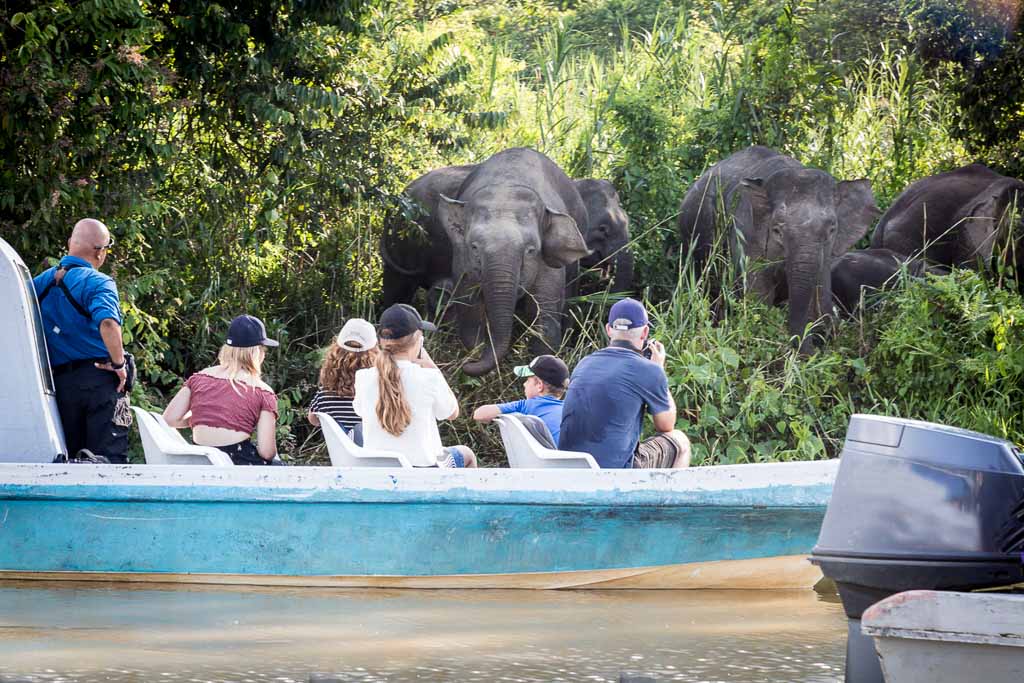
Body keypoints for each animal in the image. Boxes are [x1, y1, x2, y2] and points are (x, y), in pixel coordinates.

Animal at [382, 146, 593, 376]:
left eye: (530, 250)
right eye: (474, 247)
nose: (463, 365)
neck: (507, 185)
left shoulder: (547, 261)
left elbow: (543, 318)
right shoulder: (462, 257)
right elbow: (470, 311)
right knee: (396, 289)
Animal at [679, 145, 880, 352]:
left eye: (832, 229)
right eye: (776, 230)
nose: (812, 350)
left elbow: (821, 286)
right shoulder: (745, 232)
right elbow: (757, 292)